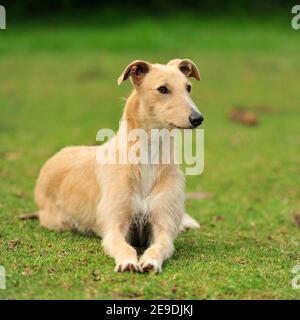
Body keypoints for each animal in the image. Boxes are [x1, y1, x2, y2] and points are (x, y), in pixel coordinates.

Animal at [34, 58, 204, 272]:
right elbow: (124, 246)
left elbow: (160, 245)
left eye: (188, 87)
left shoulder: (163, 226)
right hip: (58, 220)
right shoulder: (114, 228)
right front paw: (128, 262)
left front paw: (150, 261)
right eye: (163, 89)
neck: (147, 157)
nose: (198, 118)